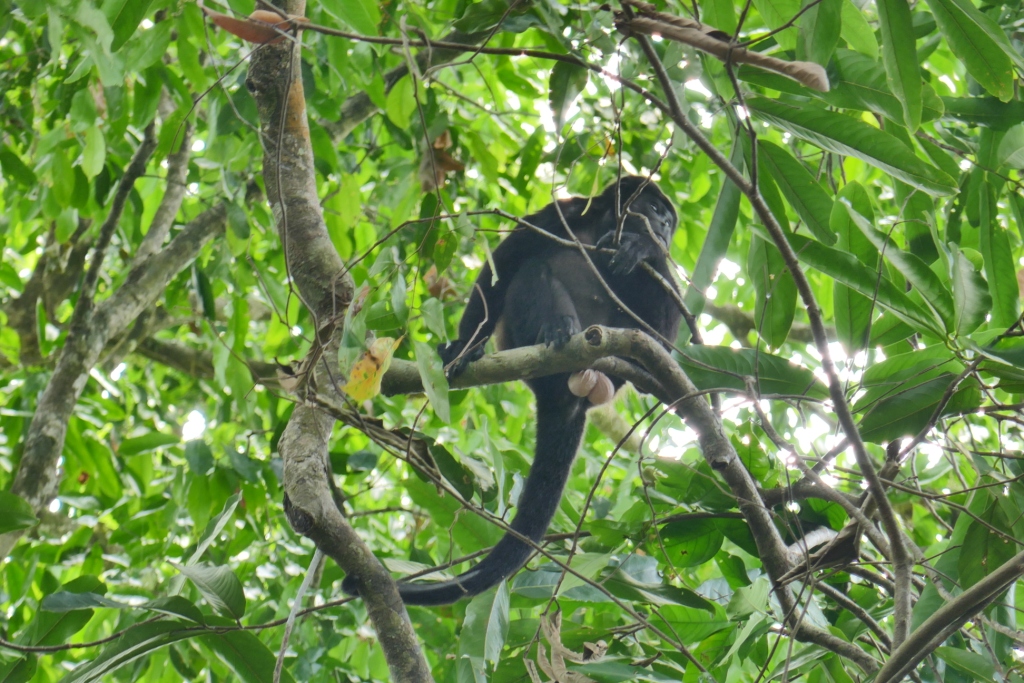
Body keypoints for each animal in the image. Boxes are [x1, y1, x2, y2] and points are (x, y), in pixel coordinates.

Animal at [345, 176, 681, 606]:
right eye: (655, 209)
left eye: (669, 220)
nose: (665, 227)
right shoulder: (561, 214)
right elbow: (501, 270)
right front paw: (464, 346)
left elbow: (665, 331)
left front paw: (643, 248)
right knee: (532, 270)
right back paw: (558, 329)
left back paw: (625, 368)